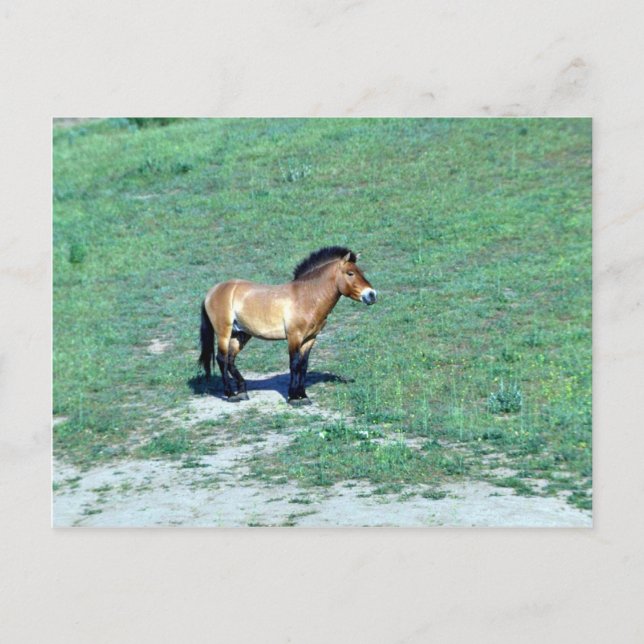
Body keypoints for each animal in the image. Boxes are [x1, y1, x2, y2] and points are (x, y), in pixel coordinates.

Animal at [198, 246, 377, 405]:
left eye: (361, 272)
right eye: (350, 273)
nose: (372, 295)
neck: (307, 297)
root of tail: (212, 291)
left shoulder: (310, 338)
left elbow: (303, 365)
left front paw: (303, 395)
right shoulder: (294, 337)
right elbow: (294, 364)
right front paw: (293, 397)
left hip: (240, 334)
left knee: (230, 359)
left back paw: (242, 391)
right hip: (224, 332)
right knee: (222, 359)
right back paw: (230, 394)